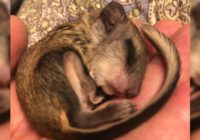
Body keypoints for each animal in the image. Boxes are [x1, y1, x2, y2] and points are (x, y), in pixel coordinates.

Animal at [16, 1, 180, 140]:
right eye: (131, 51)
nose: (132, 94)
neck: (88, 36)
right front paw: (93, 89)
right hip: (52, 68)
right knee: (79, 119)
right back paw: (115, 107)